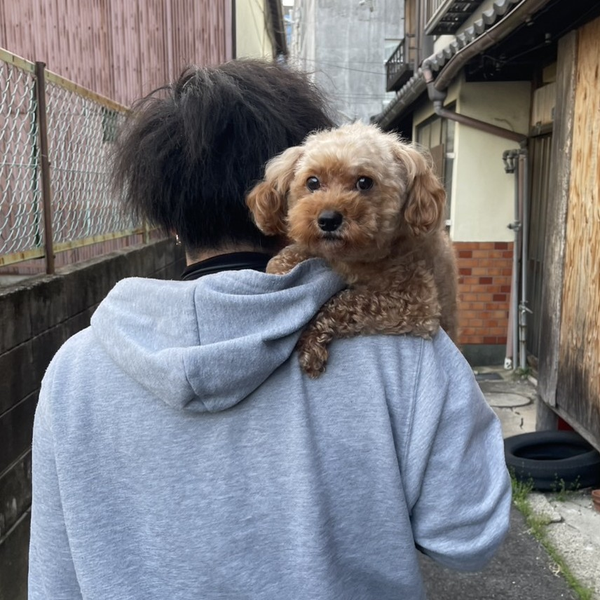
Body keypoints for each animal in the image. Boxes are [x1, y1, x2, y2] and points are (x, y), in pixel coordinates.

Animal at [246, 122, 458, 377]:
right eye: (312, 182)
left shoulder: (415, 299)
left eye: (364, 182)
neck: (351, 259)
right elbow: (287, 257)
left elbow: (345, 301)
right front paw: (278, 272)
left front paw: (310, 345)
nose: (328, 220)